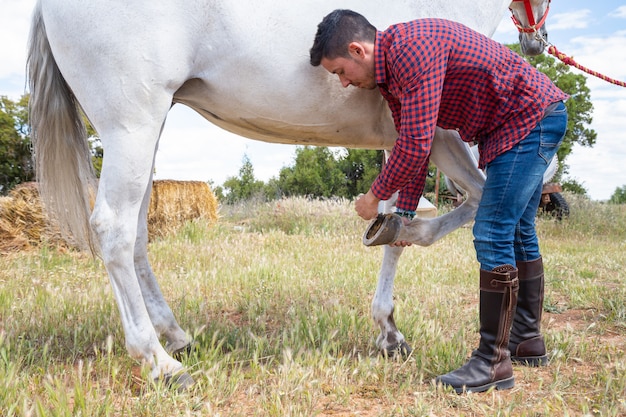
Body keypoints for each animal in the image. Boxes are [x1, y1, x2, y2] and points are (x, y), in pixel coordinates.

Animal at [26, 0, 544, 386]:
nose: (534, 42)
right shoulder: (436, 132)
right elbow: (463, 203)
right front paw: (392, 313)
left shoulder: (412, 136)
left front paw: (389, 330)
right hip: (132, 126)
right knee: (113, 229)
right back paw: (160, 363)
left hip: (144, 134)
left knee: (135, 235)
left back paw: (177, 337)